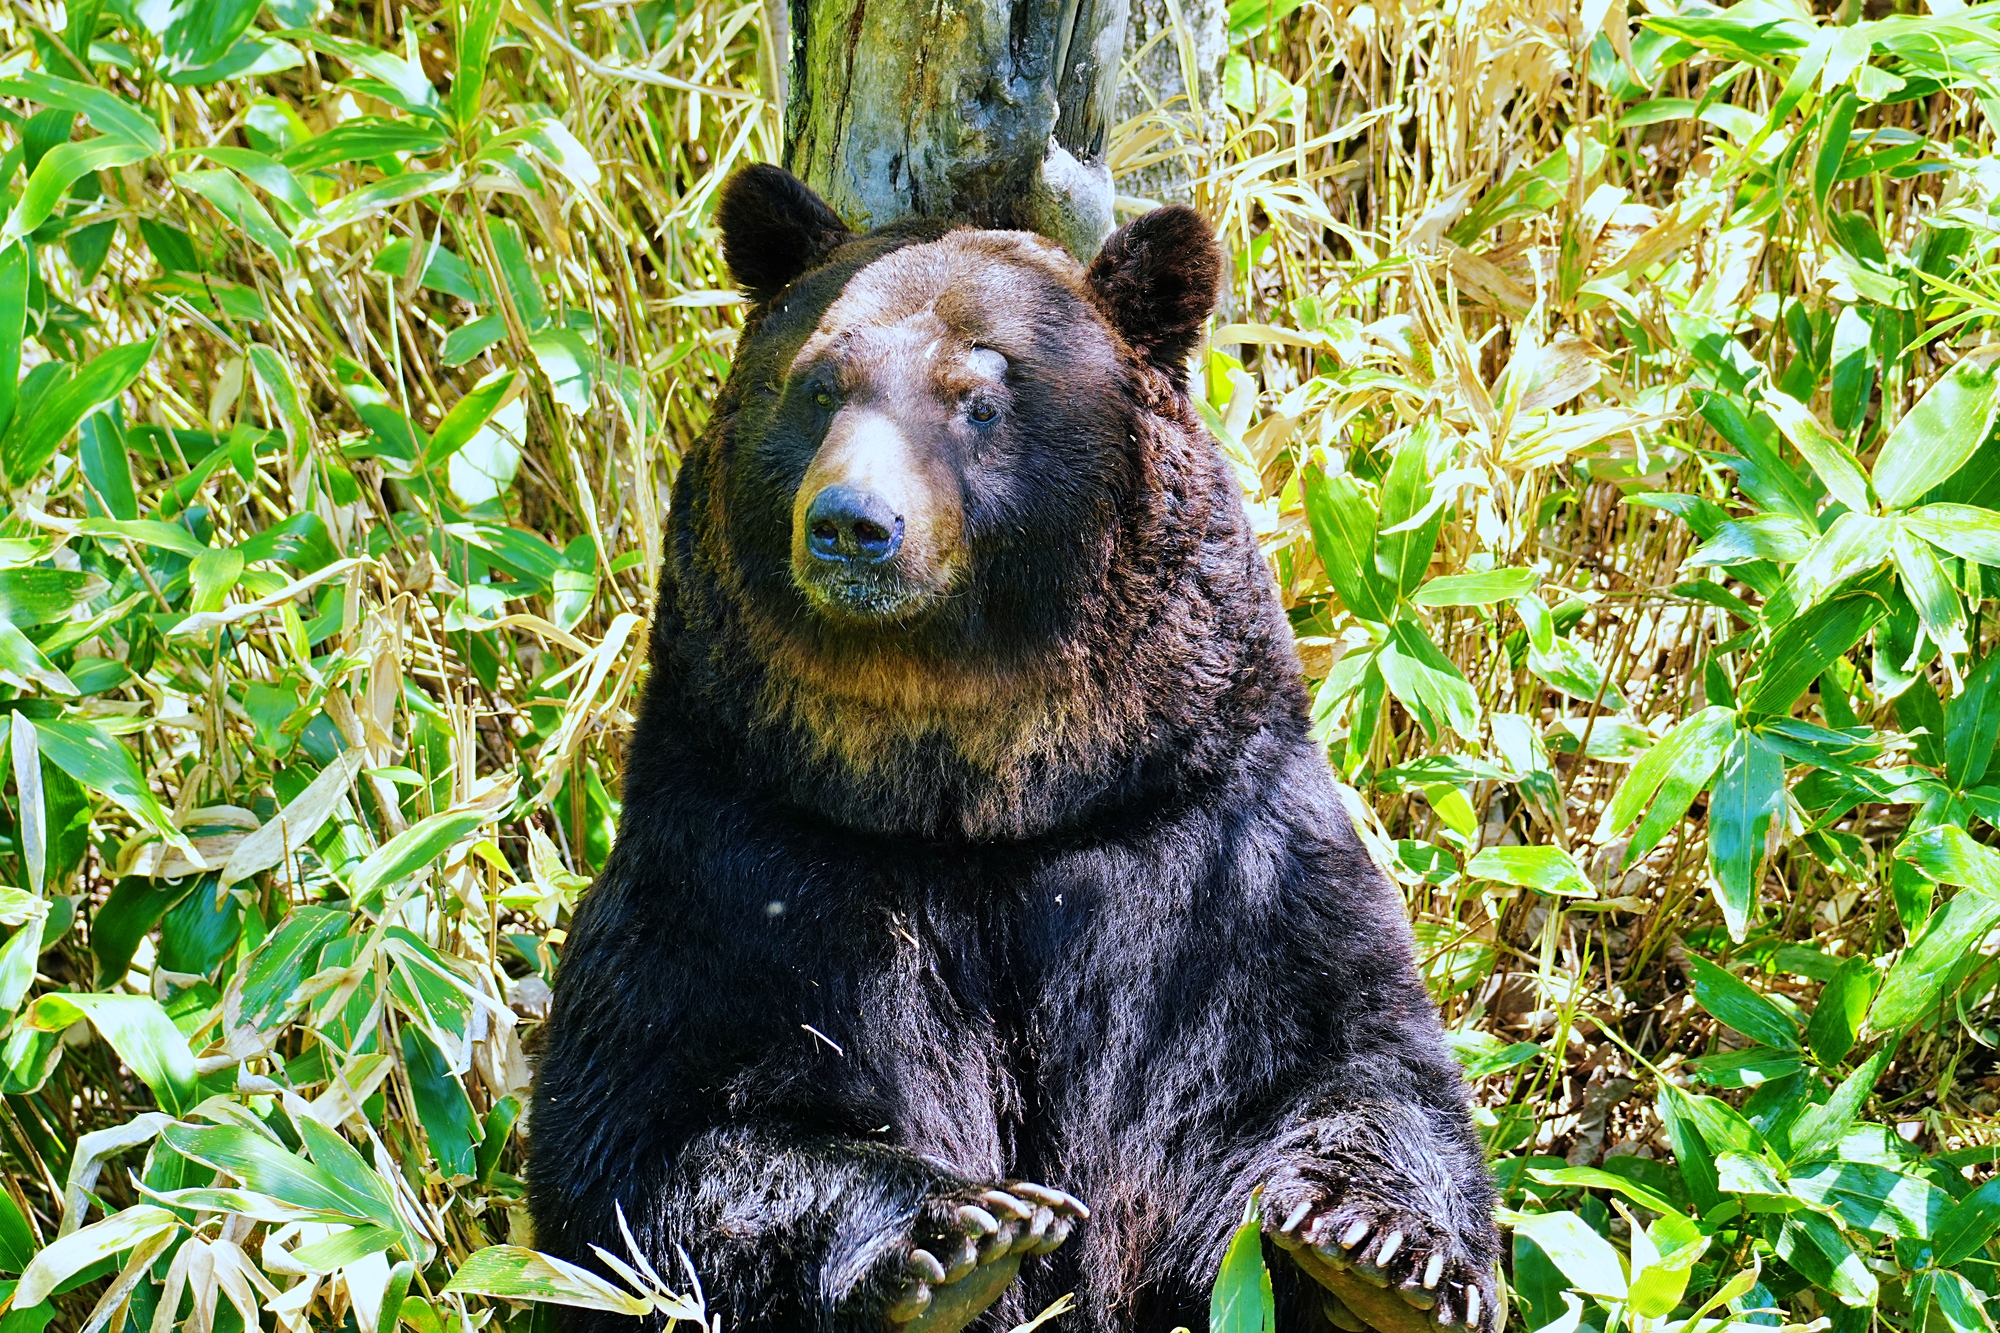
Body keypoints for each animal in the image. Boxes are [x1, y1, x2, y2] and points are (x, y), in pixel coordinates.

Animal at [524, 166, 1496, 1328]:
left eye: (979, 398)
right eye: (817, 384)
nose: (852, 524)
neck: (980, 796)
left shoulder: (1214, 842)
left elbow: (1344, 1064)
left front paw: (1379, 1255)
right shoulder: (744, 855)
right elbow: (653, 1145)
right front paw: (960, 1231)